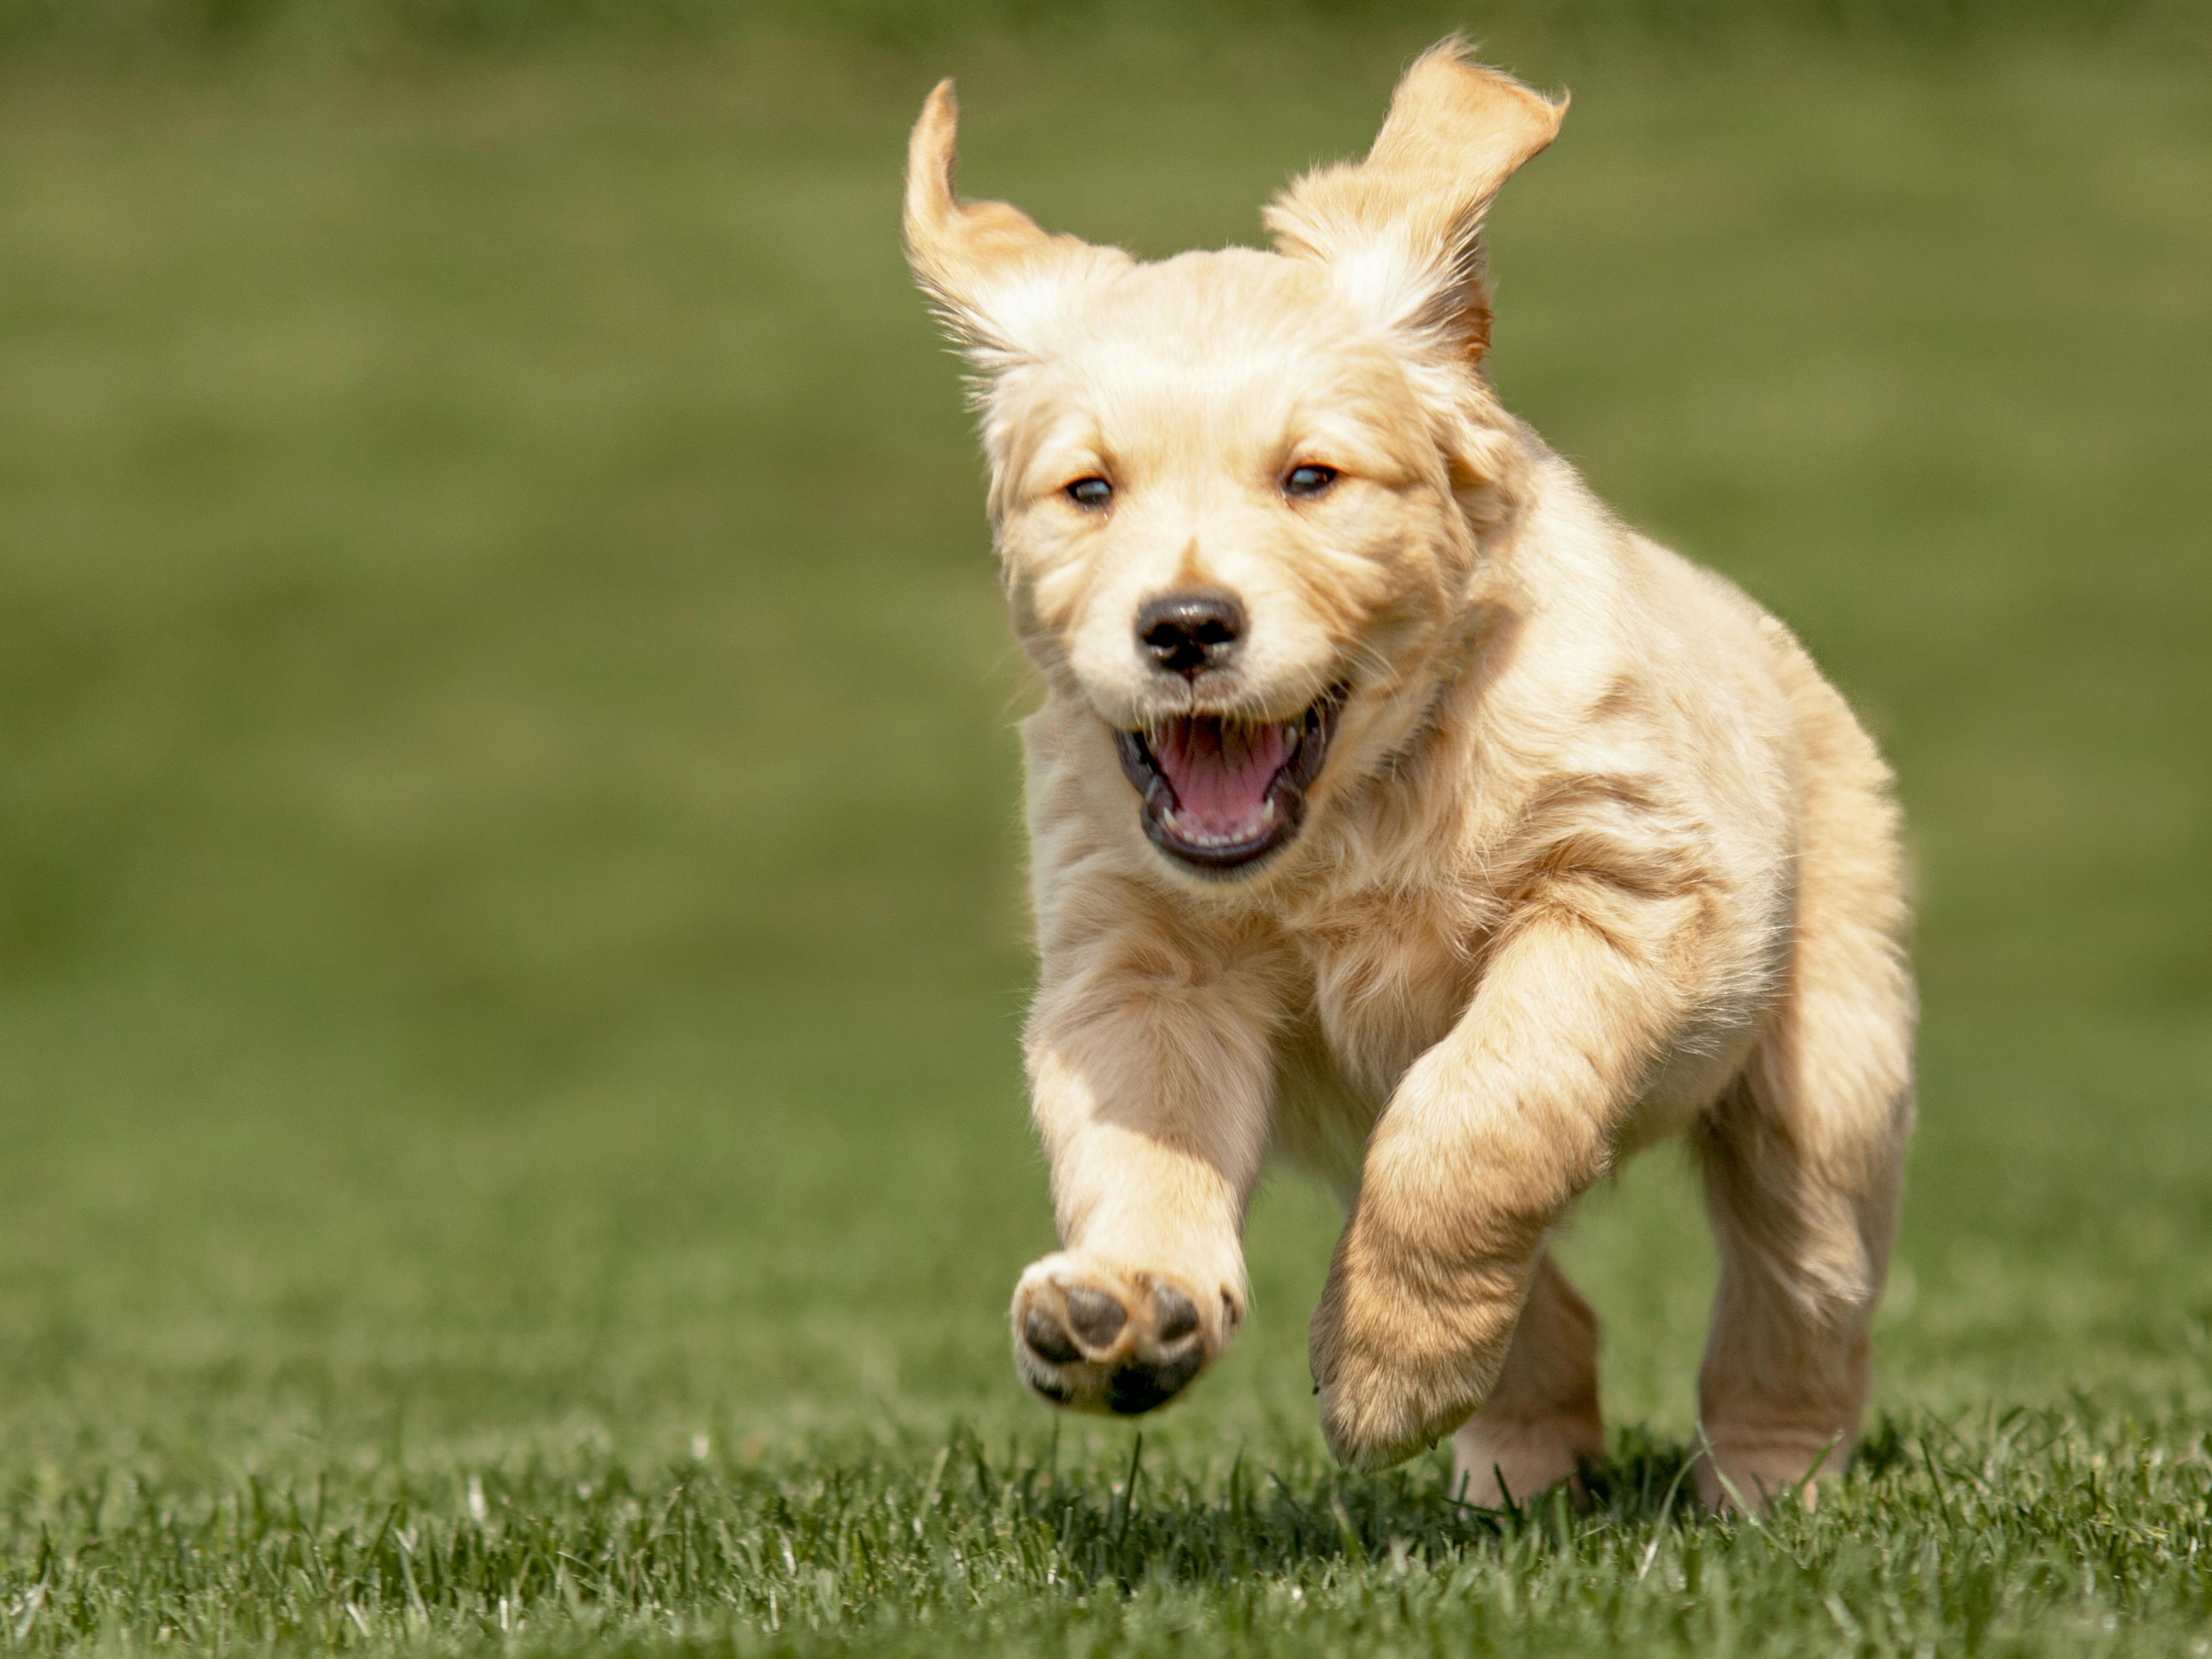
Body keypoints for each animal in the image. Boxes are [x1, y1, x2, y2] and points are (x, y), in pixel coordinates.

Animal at [907, 42, 1911, 1521]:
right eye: (1088, 490)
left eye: (1310, 478)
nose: (1185, 627)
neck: (1359, 804)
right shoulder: (1140, 968)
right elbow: (1149, 1140)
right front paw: (1128, 1305)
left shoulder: (1626, 893)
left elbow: (1477, 1114)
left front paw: (1385, 1373)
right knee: (1549, 1305)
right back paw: (1513, 1462)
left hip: (1826, 1064)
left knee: (1801, 1283)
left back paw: (1764, 1483)